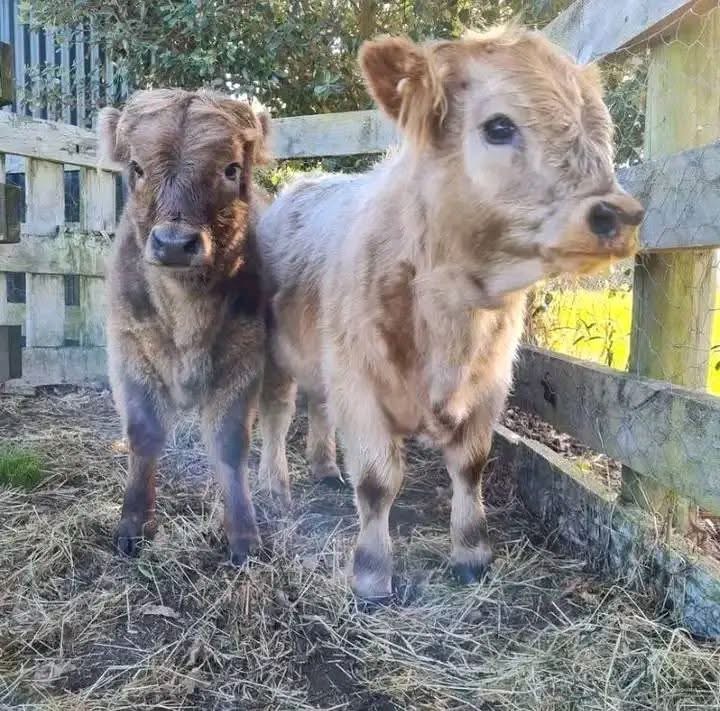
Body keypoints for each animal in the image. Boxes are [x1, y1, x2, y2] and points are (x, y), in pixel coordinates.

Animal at [100, 89, 271, 565]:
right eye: (137, 168)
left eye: (230, 168)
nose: (174, 244)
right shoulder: (129, 351)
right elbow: (144, 437)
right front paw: (133, 525)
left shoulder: (246, 356)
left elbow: (230, 446)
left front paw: (244, 536)